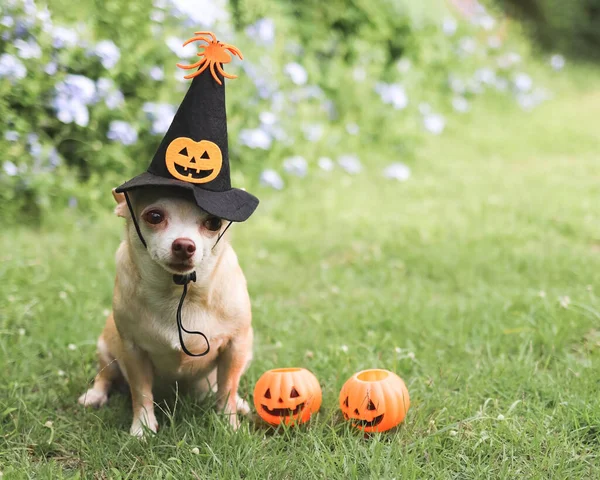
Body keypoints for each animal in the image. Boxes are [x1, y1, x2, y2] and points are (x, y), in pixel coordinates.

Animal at [78, 187, 253, 436]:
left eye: (214, 223)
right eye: (154, 216)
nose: (184, 245)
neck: (179, 294)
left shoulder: (235, 346)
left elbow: (228, 387)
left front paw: (229, 425)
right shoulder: (133, 352)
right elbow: (141, 392)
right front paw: (142, 428)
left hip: (247, 351)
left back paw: (239, 403)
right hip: (106, 350)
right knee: (104, 376)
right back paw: (95, 395)